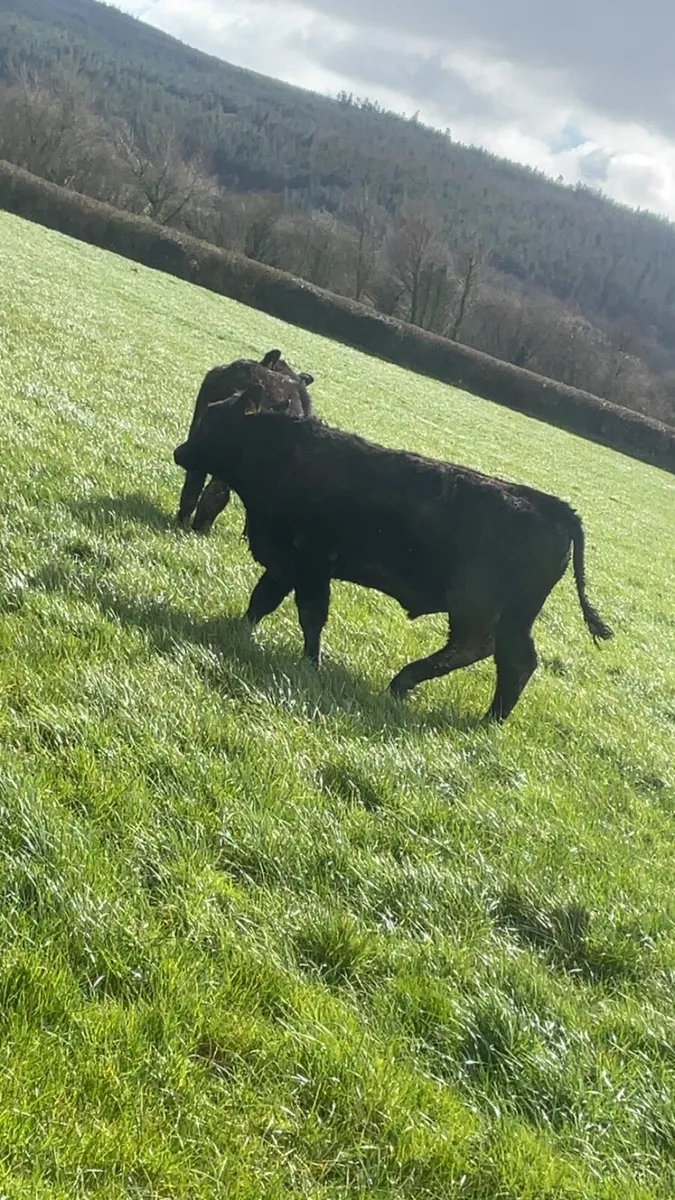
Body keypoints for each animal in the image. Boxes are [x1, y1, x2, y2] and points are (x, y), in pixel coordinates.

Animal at [173, 382, 613, 723]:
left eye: (214, 421)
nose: (180, 452)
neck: (279, 453)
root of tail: (551, 506)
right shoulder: (285, 562)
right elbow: (262, 600)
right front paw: (238, 629)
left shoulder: (311, 566)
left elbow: (310, 616)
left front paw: (311, 663)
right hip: (514, 616)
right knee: (515, 660)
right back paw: (491, 717)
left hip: (474, 602)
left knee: (480, 646)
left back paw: (405, 683)